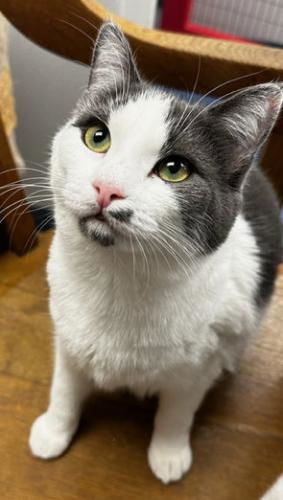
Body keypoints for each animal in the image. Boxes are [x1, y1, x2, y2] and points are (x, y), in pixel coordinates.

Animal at [28, 21, 283, 482]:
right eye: (97, 137)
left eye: (174, 169)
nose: (107, 187)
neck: (116, 277)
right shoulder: (67, 333)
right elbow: (65, 384)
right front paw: (54, 430)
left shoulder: (197, 362)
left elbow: (177, 409)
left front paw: (168, 453)